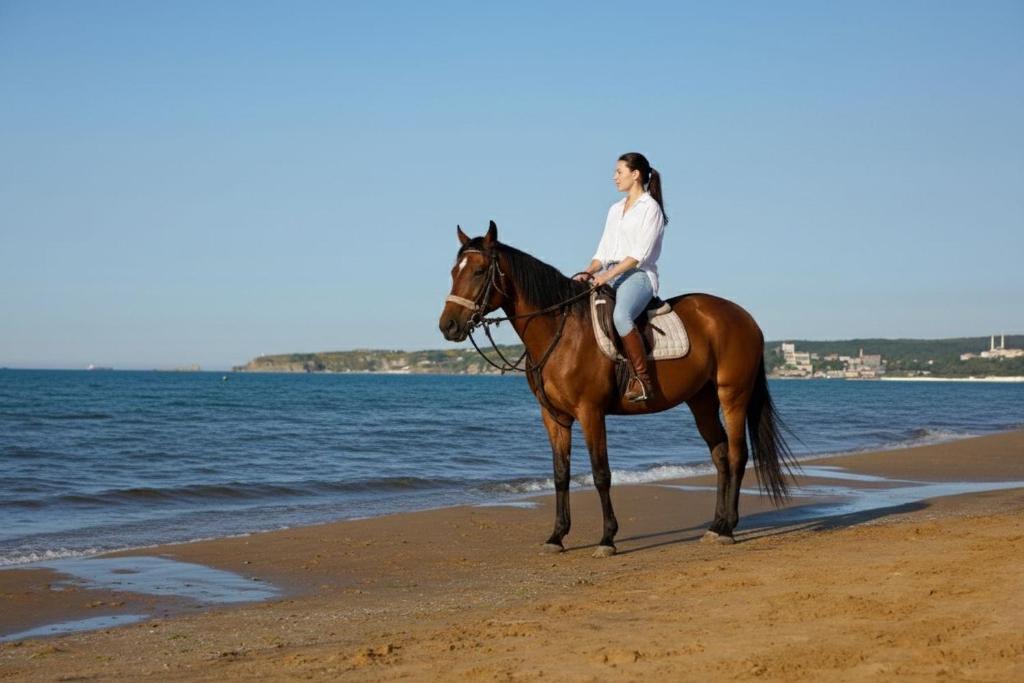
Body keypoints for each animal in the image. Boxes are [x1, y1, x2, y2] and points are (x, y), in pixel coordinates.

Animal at [438, 221, 796, 557]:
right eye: (453, 271)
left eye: (479, 271)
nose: (448, 326)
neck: (561, 332)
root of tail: (746, 319)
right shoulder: (553, 417)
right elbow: (560, 475)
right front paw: (557, 536)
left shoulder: (591, 412)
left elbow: (601, 474)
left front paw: (607, 538)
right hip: (701, 400)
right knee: (720, 455)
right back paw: (716, 525)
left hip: (732, 394)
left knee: (736, 454)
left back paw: (727, 529)